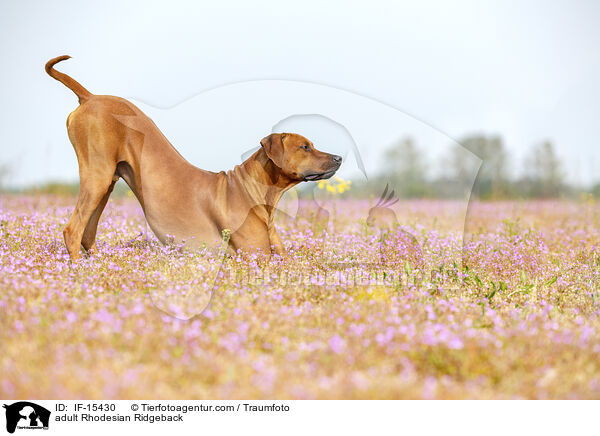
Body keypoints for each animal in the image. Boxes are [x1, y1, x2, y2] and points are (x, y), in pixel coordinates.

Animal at [44, 54, 340, 258]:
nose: (338, 158)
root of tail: (89, 97)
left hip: (108, 181)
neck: (254, 192)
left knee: (87, 233)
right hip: (98, 175)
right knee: (73, 230)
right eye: (305, 147)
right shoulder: (256, 258)